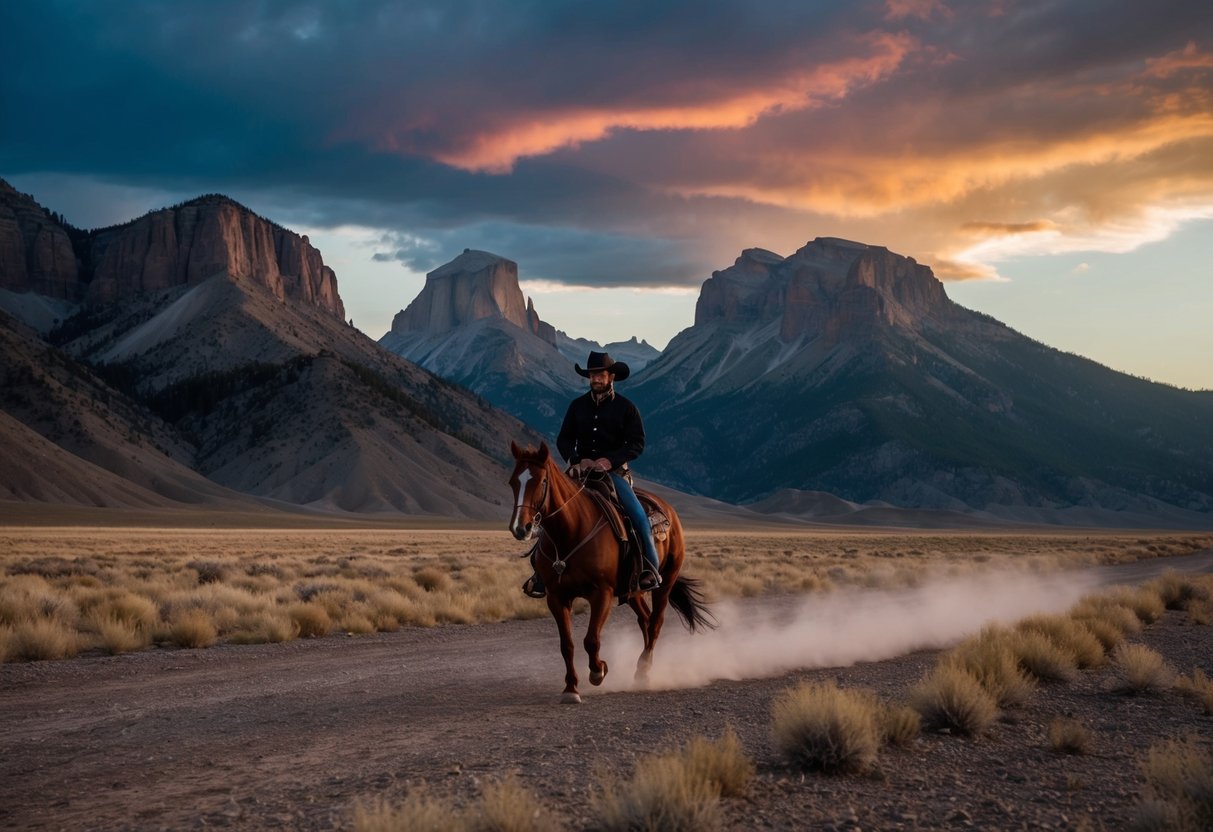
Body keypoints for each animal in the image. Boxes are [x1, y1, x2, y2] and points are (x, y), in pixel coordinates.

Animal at [507, 439, 713, 708]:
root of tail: (669, 510)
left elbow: (591, 639)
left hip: (666, 581)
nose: (521, 528)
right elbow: (567, 644)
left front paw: (599, 670)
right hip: (634, 589)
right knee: (645, 619)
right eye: (513, 481)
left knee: (656, 622)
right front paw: (571, 688)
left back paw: (643, 671)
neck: (570, 531)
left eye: (541, 481)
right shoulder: (556, 597)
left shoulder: (601, 594)